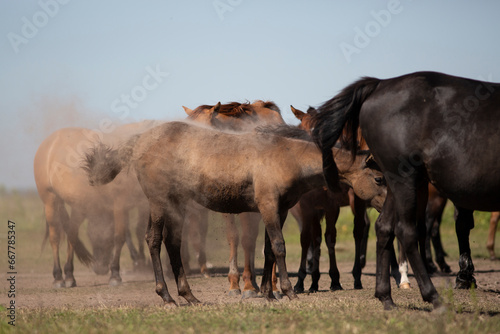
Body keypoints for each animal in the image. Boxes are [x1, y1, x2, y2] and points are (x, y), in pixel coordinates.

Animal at [84, 120, 384, 306]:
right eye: (379, 179)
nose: (389, 206)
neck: (286, 156)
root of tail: (139, 140)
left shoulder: (280, 209)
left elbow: (268, 250)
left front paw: (268, 294)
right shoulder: (268, 205)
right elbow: (280, 247)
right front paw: (288, 292)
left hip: (174, 204)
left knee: (173, 243)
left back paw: (189, 296)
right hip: (159, 202)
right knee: (154, 241)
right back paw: (167, 297)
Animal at [312, 70, 500, 310]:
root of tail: (380, 84)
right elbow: (457, 225)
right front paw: (463, 276)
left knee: (386, 227)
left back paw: (388, 293)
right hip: (406, 181)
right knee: (408, 230)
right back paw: (431, 294)